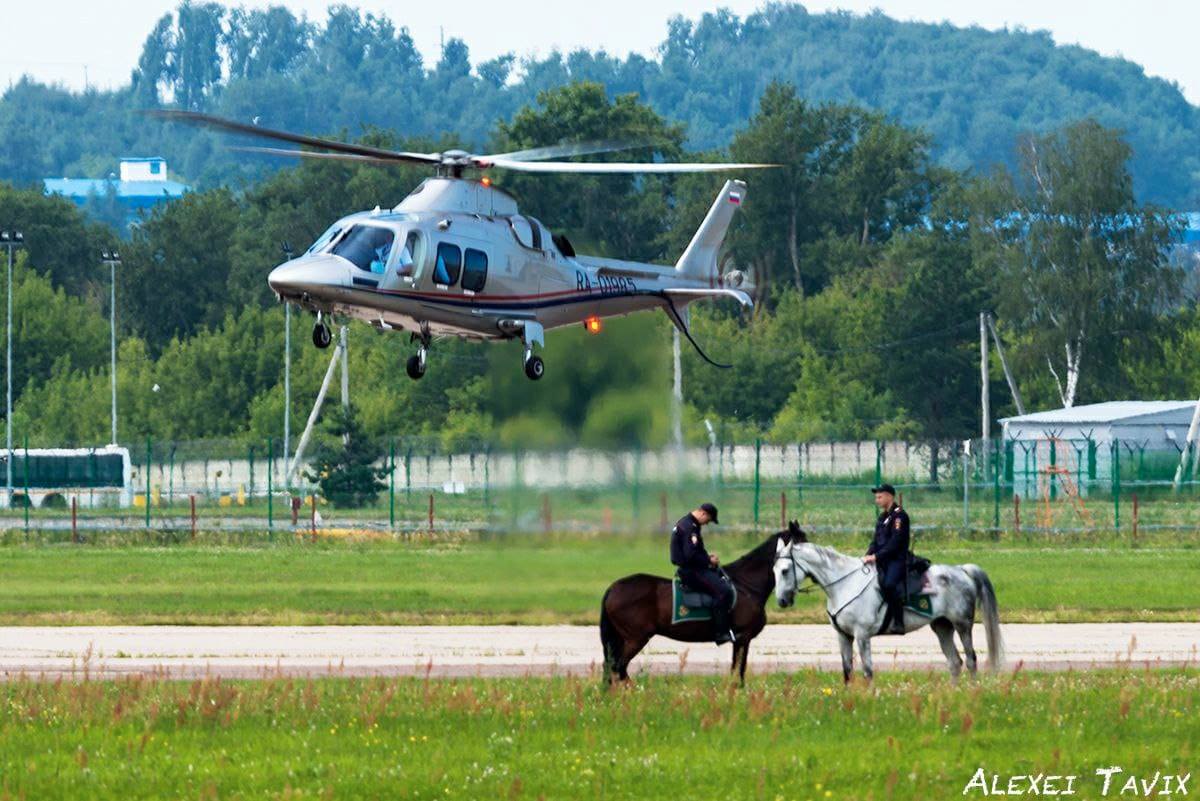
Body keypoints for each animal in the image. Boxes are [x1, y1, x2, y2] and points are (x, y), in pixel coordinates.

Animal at [597, 525, 792, 690]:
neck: (746, 585)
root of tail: (613, 588)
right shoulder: (743, 637)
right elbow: (739, 669)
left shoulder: (741, 640)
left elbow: (737, 669)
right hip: (635, 638)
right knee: (618, 667)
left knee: (611, 666)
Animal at [772, 525, 998, 681]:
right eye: (773, 570)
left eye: (785, 570)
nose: (781, 600)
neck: (845, 584)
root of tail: (961, 570)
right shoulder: (843, 636)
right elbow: (847, 671)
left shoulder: (862, 635)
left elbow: (868, 671)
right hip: (942, 626)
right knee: (955, 663)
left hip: (962, 625)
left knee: (971, 660)